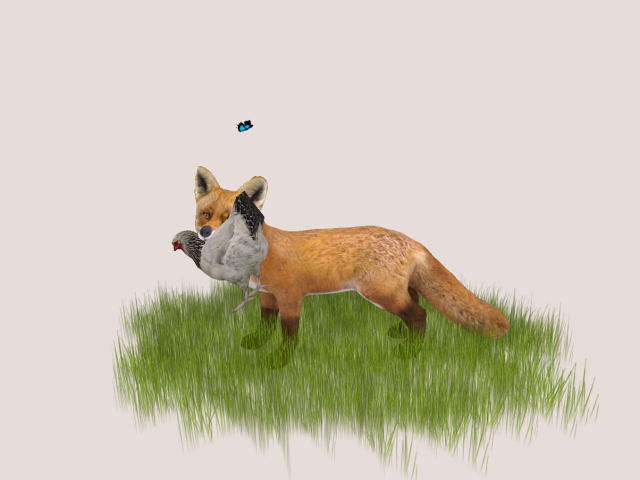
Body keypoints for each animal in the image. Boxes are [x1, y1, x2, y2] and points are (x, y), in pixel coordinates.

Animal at [194, 166, 510, 368]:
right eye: (206, 215)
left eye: (229, 218)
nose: (206, 233)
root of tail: (411, 240)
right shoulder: (268, 295)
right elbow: (265, 325)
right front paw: (257, 344)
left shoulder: (291, 297)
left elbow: (288, 336)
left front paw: (278, 362)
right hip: (393, 291)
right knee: (416, 302)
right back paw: (400, 332)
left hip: (380, 292)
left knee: (420, 314)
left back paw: (409, 353)